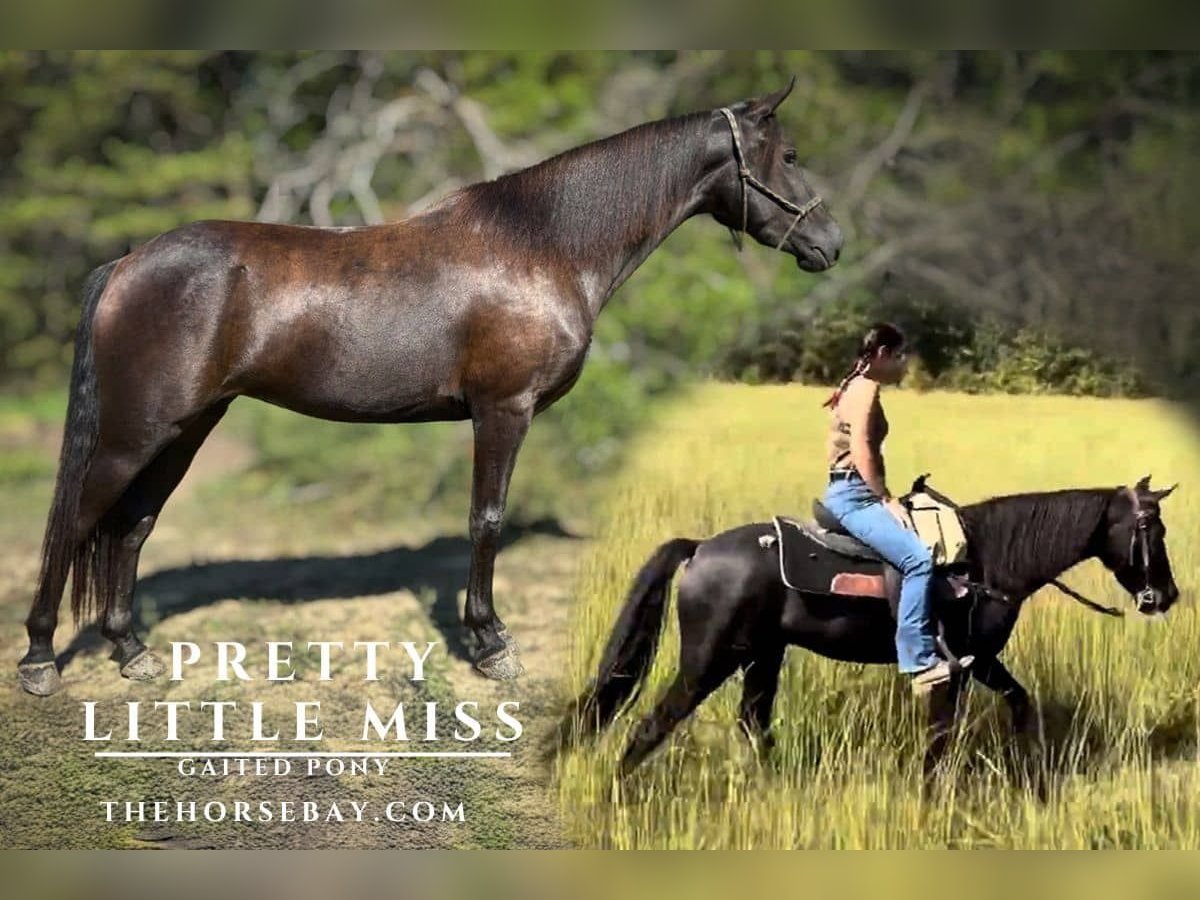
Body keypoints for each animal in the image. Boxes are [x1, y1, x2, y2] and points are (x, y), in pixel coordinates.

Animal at [17, 78, 844, 696]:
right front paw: (491, 645)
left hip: (186, 430)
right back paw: (38, 659)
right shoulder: (502, 411)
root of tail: (127, 263)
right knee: (76, 523)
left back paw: (131, 652)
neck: (543, 245)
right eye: (790, 154)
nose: (832, 244)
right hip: (135, 433)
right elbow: (487, 520)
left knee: (131, 527)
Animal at [565, 476, 1181, 776]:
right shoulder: (953, 668)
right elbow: (939, 740)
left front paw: (1030, 772)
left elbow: (1021, 704)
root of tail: (699, 549)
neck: (985, 560)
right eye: (1150, 528)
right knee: (653, 724)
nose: (1166, 596)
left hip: (763, 654)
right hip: (709, 659)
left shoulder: (982, 662)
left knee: (753, 723)